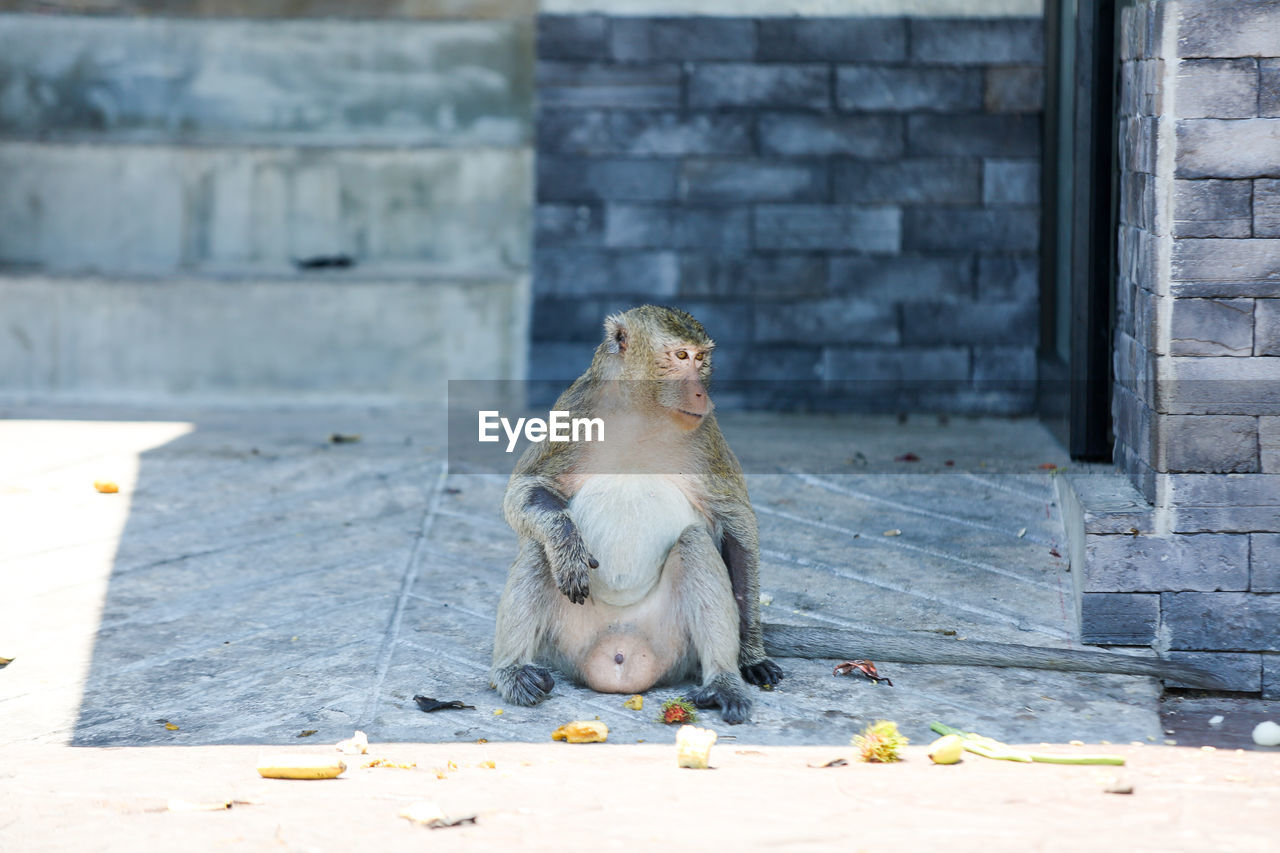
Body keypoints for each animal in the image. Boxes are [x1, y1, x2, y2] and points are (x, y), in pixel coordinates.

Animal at [486, 302, 1218, 722]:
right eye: (679, 356)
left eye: (702, 361)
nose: (700, 389)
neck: (643, 411)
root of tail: (618, 660)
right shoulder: (577, 409)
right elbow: (526, 499)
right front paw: (562, 538)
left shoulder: (705, 434)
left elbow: (737, 526)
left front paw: (751, 653)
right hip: (569, 642)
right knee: (536, 551)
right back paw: (512, 670)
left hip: (672, 646)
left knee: (695, 547)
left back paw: (725, 678)